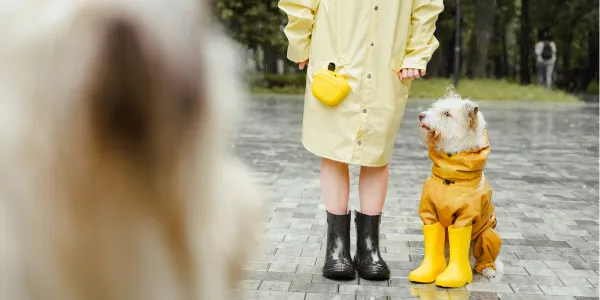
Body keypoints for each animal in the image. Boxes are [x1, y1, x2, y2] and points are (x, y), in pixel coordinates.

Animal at [412, 88, 502, 288]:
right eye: (435, 108)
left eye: (446, 113)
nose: (421, 115)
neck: (451, 176)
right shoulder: (429, 212)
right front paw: (430, 270)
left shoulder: (466, 217)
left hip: (488, 233)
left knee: (484, 257)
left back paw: (486, 269)